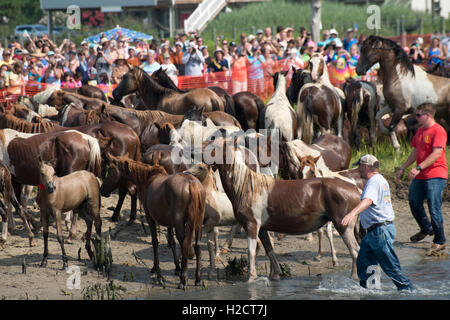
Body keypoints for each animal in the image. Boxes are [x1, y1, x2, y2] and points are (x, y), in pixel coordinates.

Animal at [100, 155, 206, 290]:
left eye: (111, 170)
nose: (102, 190)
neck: (145, 179)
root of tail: (192, 184)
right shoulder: (170, 223)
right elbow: (171, 243)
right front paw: (177, 268)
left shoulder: (150, 217)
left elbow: (155, 241)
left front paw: (156, 267)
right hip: (198, 222)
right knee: (197, 246)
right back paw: (198, 279)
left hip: (181, 223)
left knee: (185, 245)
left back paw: (183, 279)